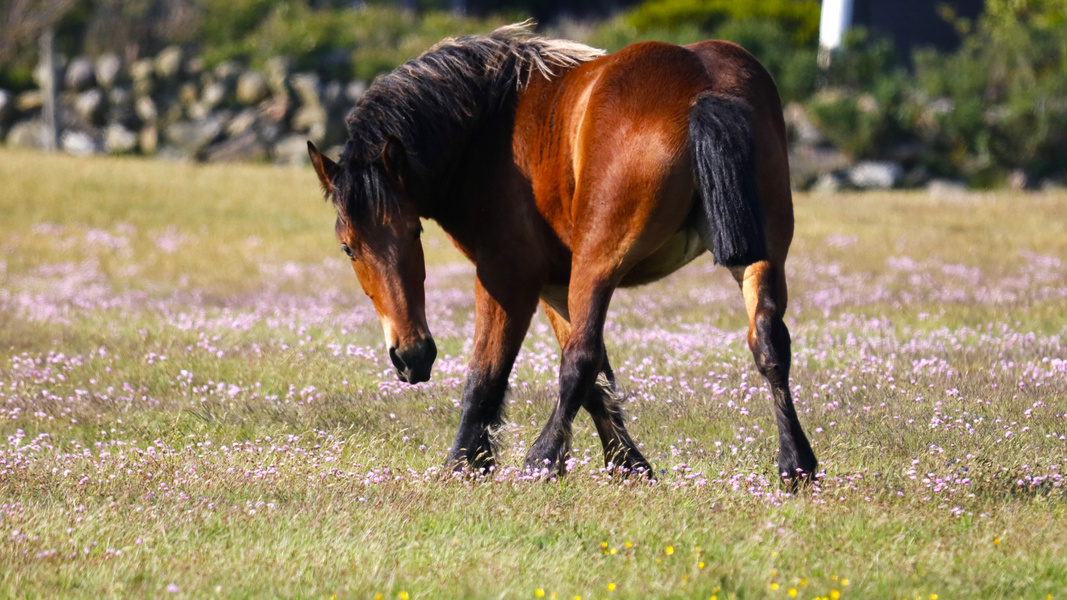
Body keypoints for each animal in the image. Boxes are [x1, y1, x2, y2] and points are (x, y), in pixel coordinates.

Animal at [307, 24, 815, 480]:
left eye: (413, 232)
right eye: (350, 248)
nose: (411, 356)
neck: (488, 126)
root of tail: (703, 84)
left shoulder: (508, 275)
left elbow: (487, 374)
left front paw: (464, 464)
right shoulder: (553, 283)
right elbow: (600, 386)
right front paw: (629, 466)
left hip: (598, 262)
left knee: (578, 359)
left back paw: (542, 459)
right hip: (761, 255)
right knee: (769, 342)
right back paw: (796, 464)